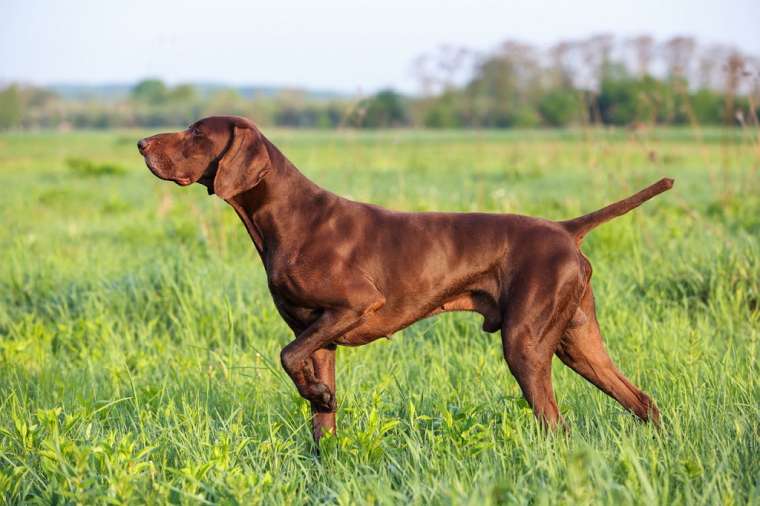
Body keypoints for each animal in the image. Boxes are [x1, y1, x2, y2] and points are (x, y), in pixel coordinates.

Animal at [138, 116, 672, 440]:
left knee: (555, 423)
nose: (141, 143)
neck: (289, 218)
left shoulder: (354, 306)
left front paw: (317, 394)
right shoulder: (320, 338)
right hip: (577, 342)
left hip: (526, 344)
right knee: (642, 400)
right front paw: (322, 433)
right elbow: (319, 413)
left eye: (195, 133)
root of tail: (565, 229)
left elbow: (286, 357)